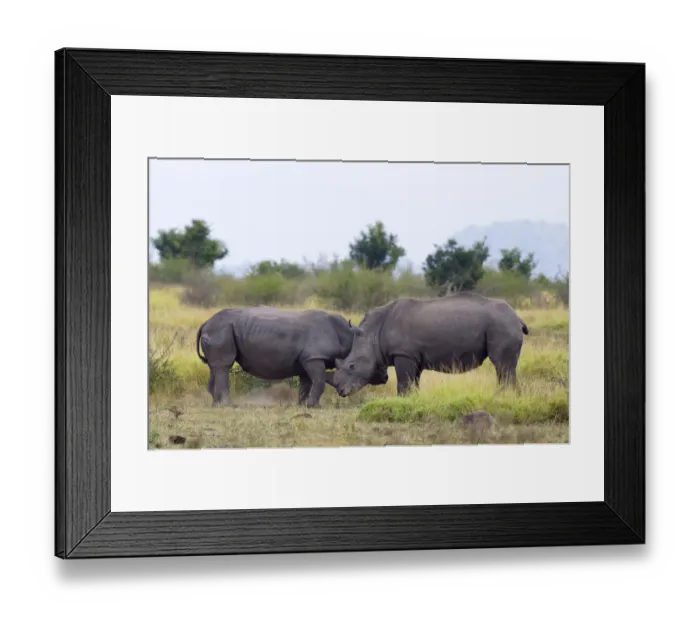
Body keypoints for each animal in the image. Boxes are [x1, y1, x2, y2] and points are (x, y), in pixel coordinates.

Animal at [195, 306, 388, 407]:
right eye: (377, 365)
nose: (385, 378)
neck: (348, 336)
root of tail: (205, 323)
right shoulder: (314, 357)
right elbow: (318, 381)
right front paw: (313, 406)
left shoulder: (307, 359)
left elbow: (306, 384)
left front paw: (303, 405)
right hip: (221, 330)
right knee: (223, 366)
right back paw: (228, 405)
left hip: (219, 330)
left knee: (215, 367)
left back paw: (215, 404)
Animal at [331, 292, 530, 397]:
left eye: (352, 365)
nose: (340, 391)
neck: (373, 333)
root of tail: (517, 317)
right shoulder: (413, 357)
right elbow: (413, 383)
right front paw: (412, 401)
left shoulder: (403, 354)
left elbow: (403, 383)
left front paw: (400, 401)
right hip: (503, 324)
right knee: (504, 369)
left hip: (502, 324)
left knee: (503, 366)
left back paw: (506, 398)